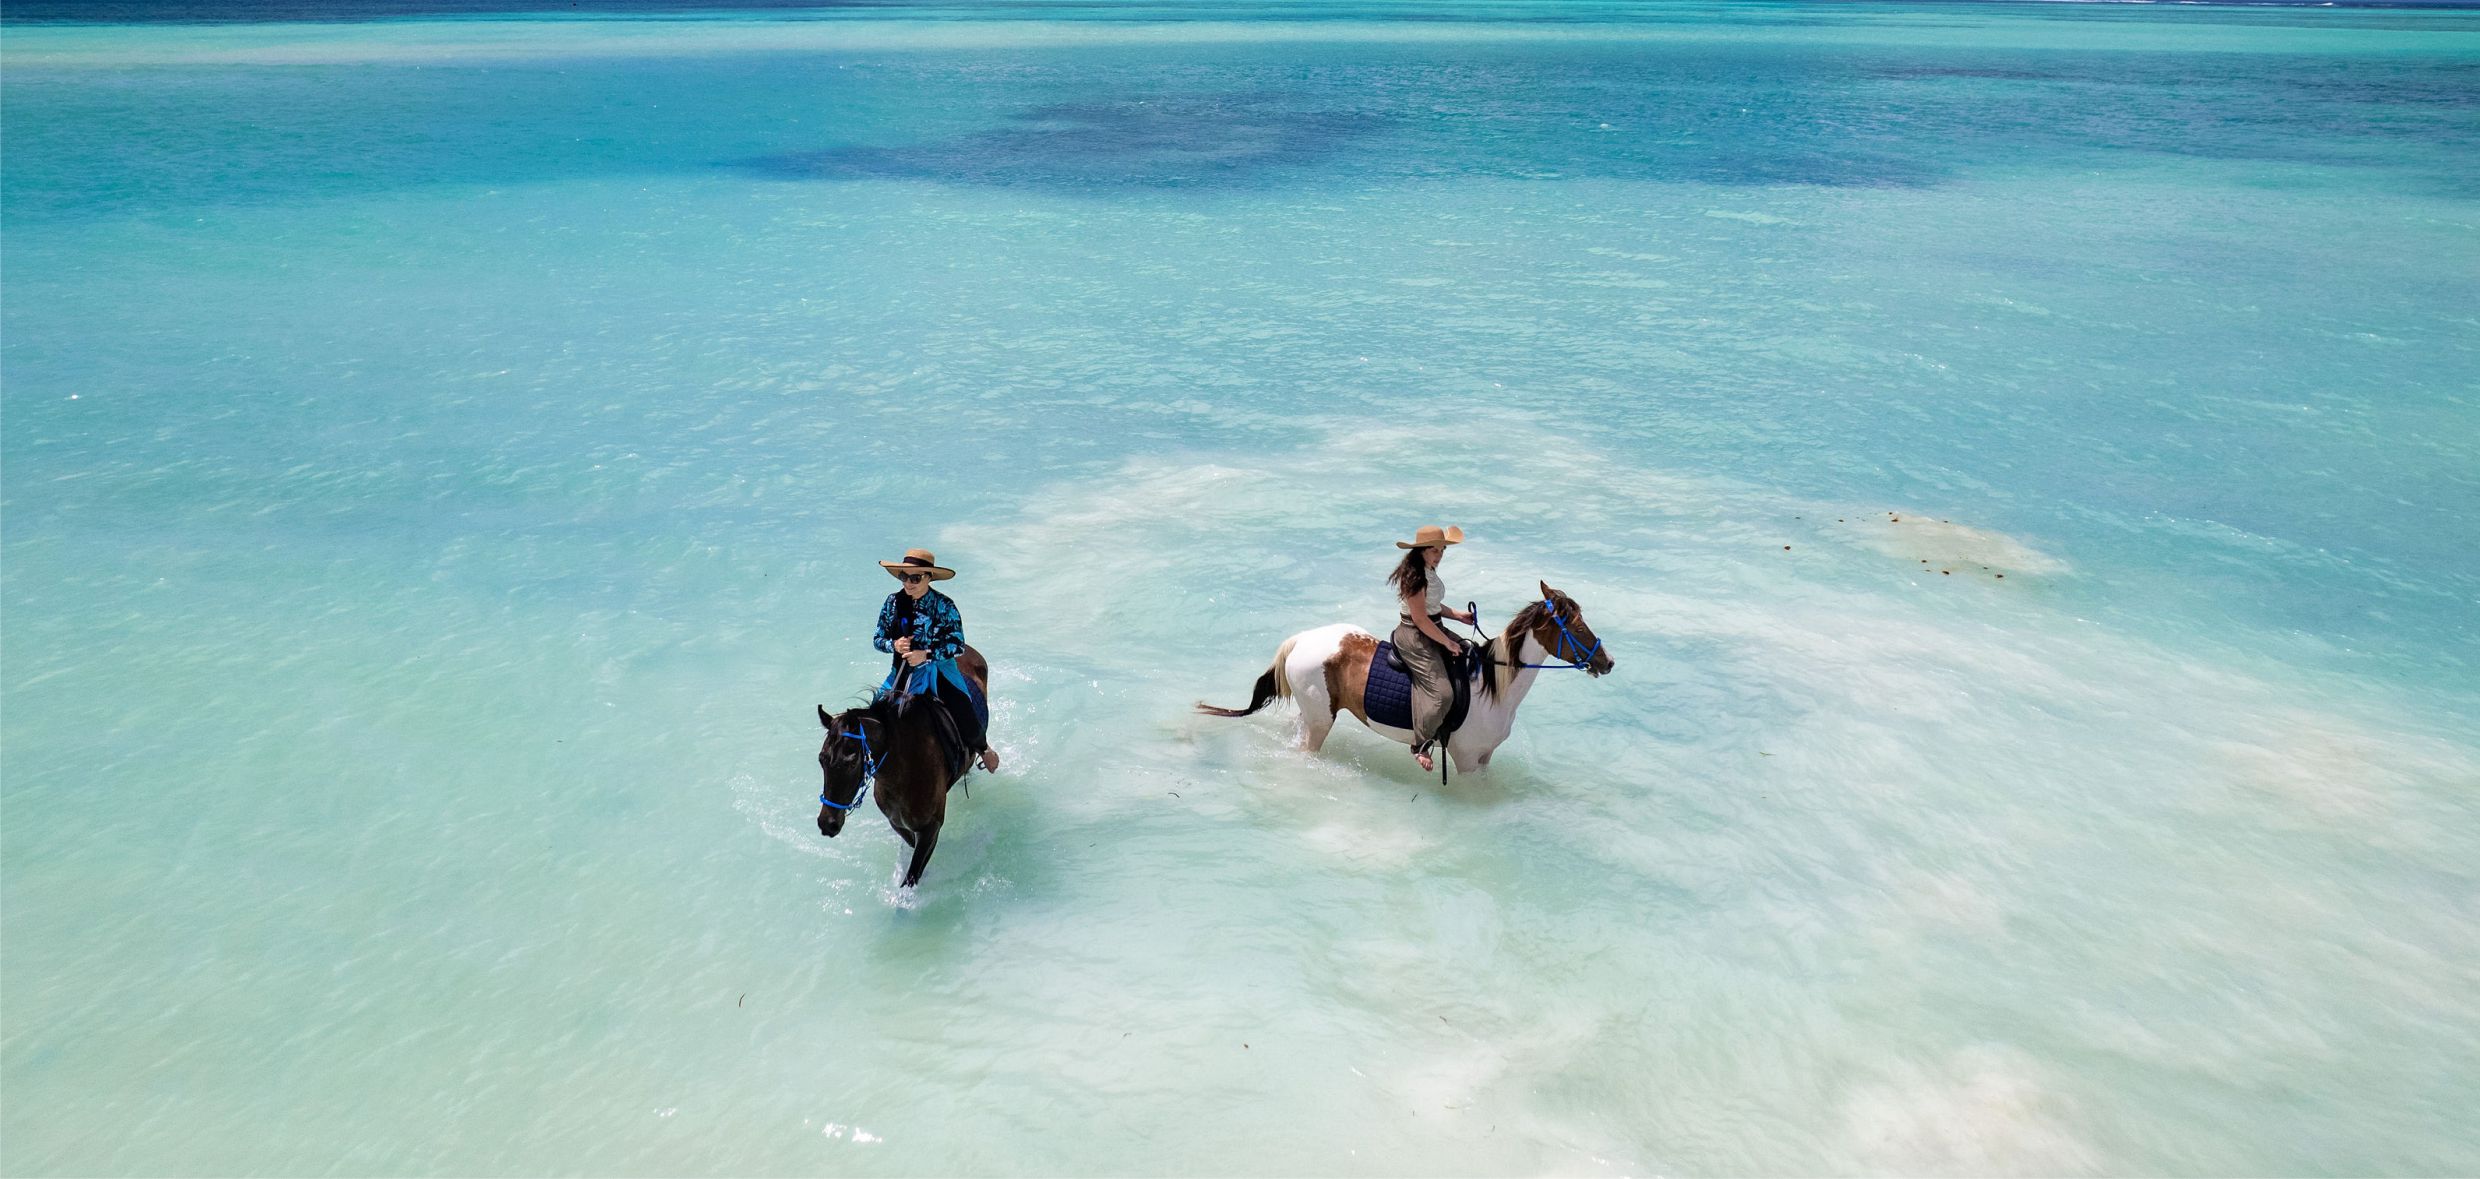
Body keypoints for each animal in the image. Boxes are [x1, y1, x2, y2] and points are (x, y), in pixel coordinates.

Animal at [816, 645, 990, 888]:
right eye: (821, 759)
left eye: (851, 761)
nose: (827, 823)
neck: (903, 771)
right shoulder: (898, 823)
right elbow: (909, 845)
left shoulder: (930, 828)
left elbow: (912, 875)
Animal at [1196, 581, 1612, 774]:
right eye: (1576, 627)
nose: (1607, 662)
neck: (1492, 690)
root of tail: (1300, 640)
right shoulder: (1465, 759)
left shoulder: (1485, 757)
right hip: (1319, 722)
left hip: (1309, 713)